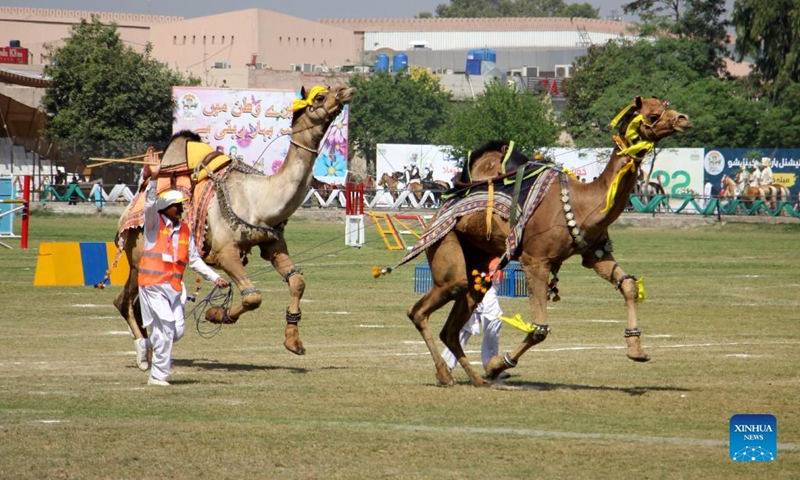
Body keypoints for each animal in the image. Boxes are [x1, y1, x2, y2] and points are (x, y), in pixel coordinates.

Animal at [114, 85, 354, 356]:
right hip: (139, 255)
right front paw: (216, 314)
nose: (345, 90)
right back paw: (144, 352)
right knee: (125, 301)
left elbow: (297, 282)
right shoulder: (224, 251)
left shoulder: (273, 242)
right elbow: (253, 296)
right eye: (320, 97)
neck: (258, 199)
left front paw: (293, 341)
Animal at [404, 96, 692, 386]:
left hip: (478, 264)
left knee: (451, 328)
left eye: (666, 105)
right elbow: (539, 328)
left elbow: (629, 285)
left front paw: (636, 350)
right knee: (422, 309)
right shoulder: (536, 260)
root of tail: (440, 208)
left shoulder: (594, 253)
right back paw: (447, 374)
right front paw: (497, 365)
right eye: (653, 114)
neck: (581, 202)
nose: (683, 119)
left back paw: (476, 378)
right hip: (445, 249)